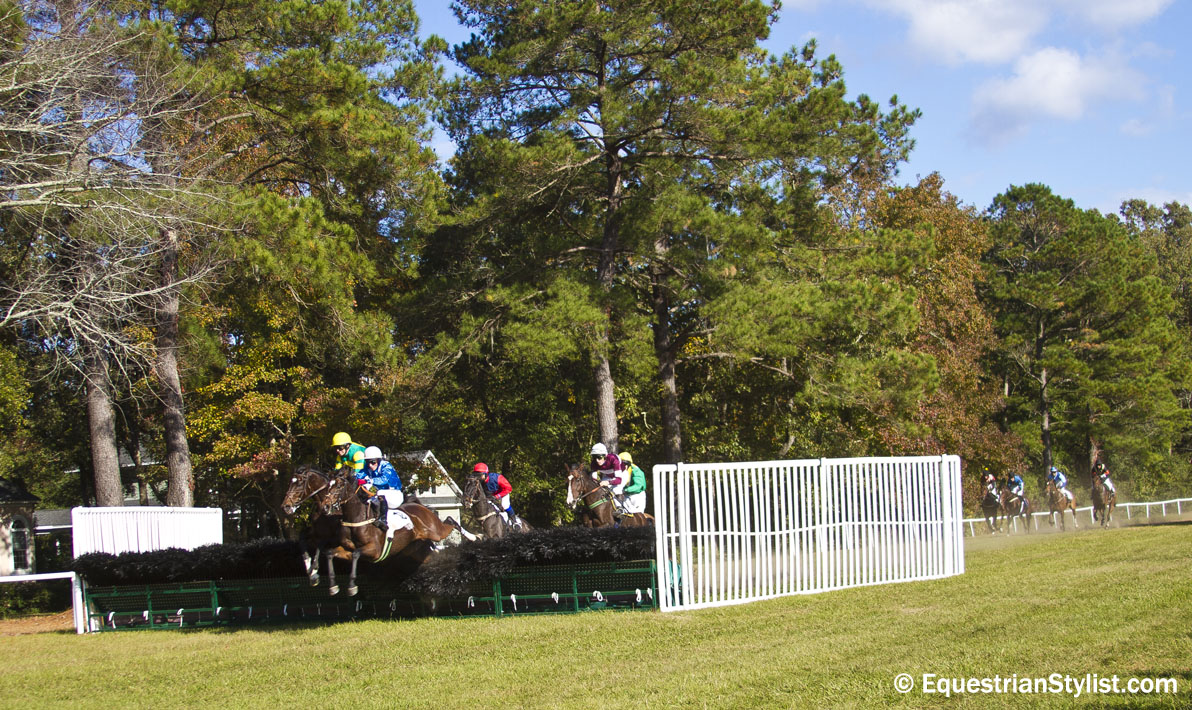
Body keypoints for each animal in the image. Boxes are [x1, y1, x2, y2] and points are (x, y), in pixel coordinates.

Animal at [284, 462, 474, 595]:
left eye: (299, 483)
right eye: (329, 485)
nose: (285, 506)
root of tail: (420, 506)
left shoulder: (372, 550)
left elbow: (352, 553)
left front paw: (350, 586)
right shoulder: (332, 541)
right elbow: (327, 552)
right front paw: (326, 582)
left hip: (435, 531)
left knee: (450, 520)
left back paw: (473, 537)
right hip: (415, 548)